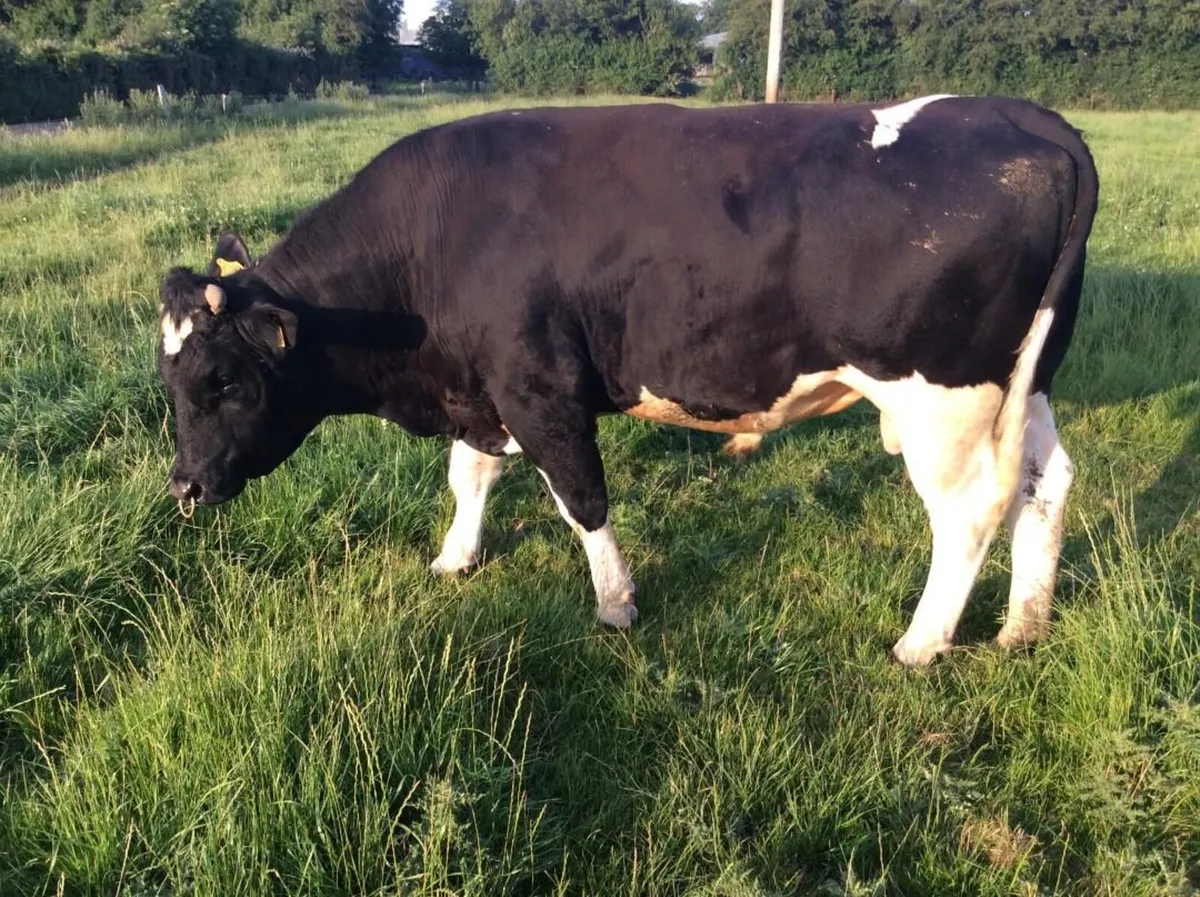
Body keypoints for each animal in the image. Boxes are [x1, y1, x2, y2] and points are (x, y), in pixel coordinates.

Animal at [157, 95, 1098, 666]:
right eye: (168, 382)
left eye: (221, 377)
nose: (184, 487)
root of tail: (1022, 116)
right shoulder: (483, 389)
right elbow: (471, 475)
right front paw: (455, 557)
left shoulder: (539, 387)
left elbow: (581, 497)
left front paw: (615, 603)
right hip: (1026, 385)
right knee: (1046, 484)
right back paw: (1024, 624)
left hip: (945, 403)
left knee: (968, 512)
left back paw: (922, 641)